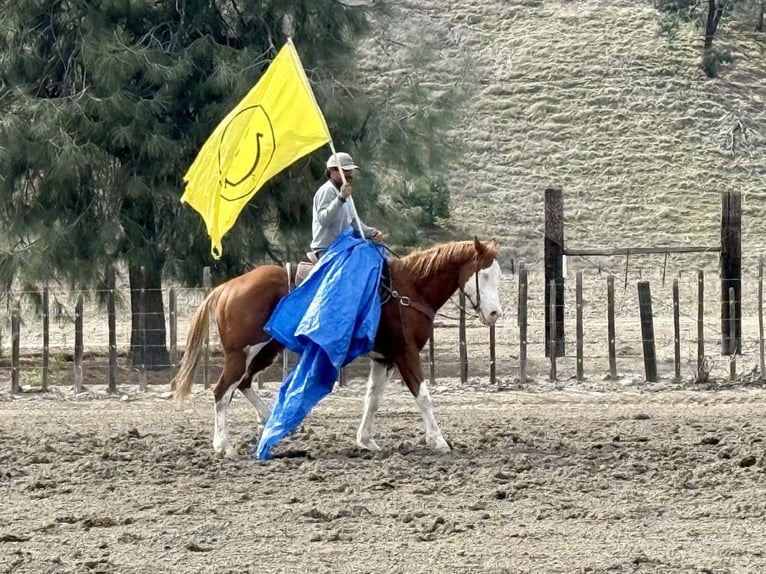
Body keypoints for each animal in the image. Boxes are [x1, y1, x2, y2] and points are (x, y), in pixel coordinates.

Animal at [172, 237, 503, 458]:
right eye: (484, 273)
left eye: (499, 275)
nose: (494, 313)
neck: (407, 289)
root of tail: (226, 287)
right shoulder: (406, 353)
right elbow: (423, 396)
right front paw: (439, 441)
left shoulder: (384, 359)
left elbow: (373, 399)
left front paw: (366, 441)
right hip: (241, 353)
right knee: (222, 391)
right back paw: (224, 446)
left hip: (266, 350)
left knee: (243, 384)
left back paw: (270, 422)